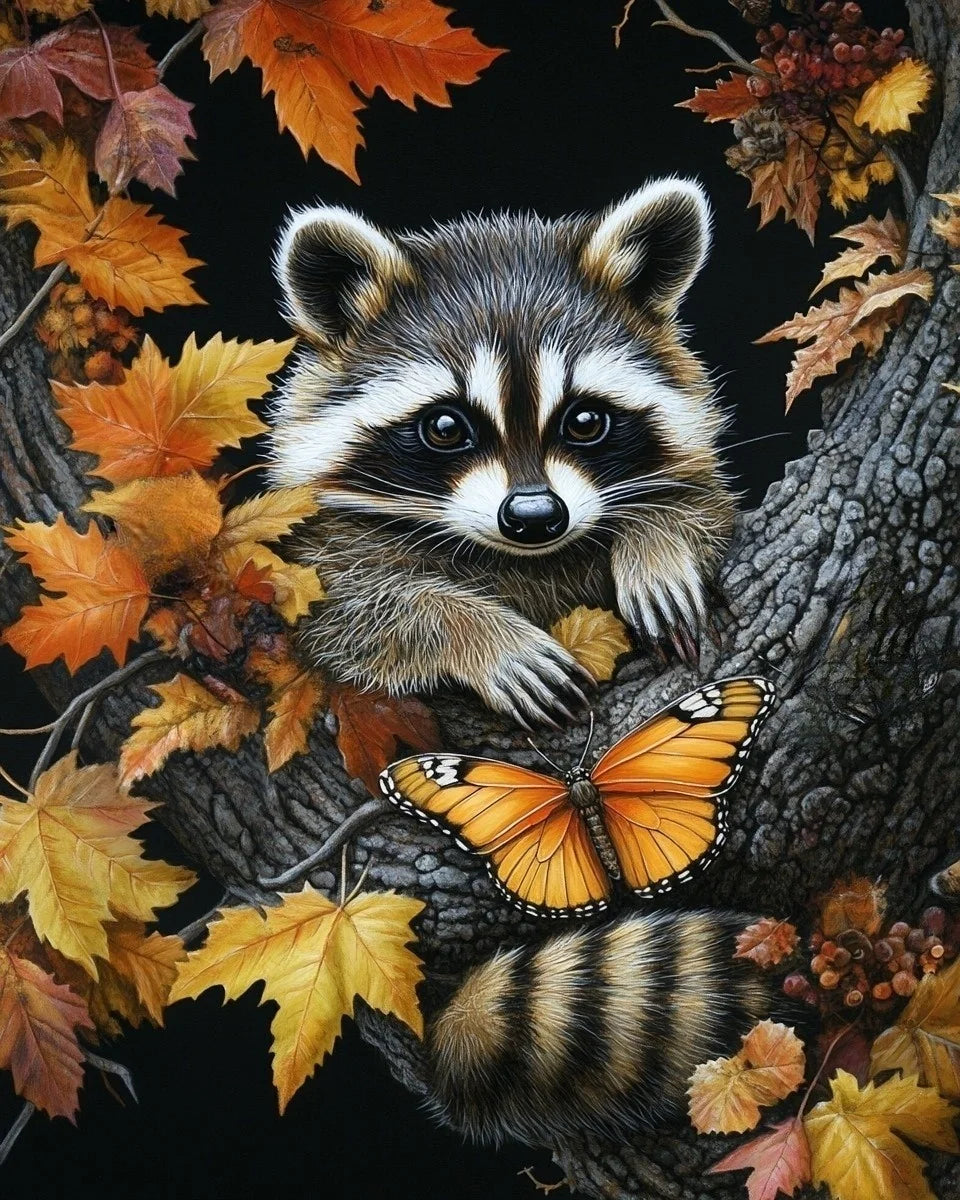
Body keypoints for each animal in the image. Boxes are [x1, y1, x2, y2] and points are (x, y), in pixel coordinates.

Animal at [268, 179, 735, 727]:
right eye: (445, 427)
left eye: (584, 421)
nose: (535, 516)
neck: (523, 559)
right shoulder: (312, 553)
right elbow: (341, 610)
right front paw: (474, 629)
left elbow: (708, 506)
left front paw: (656, 534)